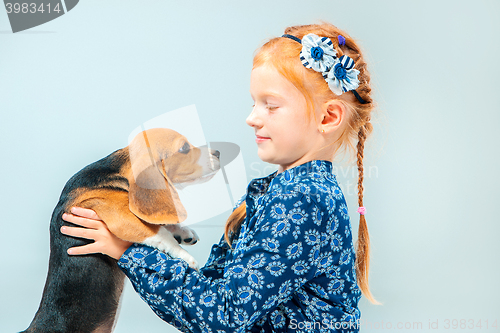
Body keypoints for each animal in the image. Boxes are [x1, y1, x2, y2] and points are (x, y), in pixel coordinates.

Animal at [21, 128, 221, 332]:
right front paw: (185, 255)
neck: (118, 171)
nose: (217, 153)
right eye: (184, 148)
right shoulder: (120, 216)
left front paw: (183, 233)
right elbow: (158, 233)